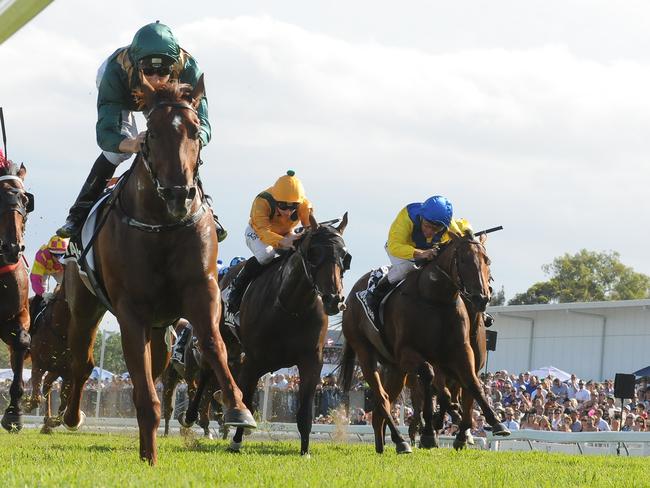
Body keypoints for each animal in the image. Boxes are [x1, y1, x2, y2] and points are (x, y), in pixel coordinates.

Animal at [60, 78, 253, 464]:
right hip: (85, 306)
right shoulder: (130, 310)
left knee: (156, 364)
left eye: (195, 130)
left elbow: (214, 345)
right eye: (152, 134)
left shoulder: (202, 290)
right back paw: (72, 417)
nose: (179, 193)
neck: (162, 223)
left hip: (161, 329)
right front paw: (149, 454)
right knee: (82, 361)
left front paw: (238, 408)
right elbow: (142, 387)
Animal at [223, 215, 350, 456]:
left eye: (345, 256)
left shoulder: (312, 360)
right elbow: (246, 398)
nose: (334, 300)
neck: (291, 306)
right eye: (313, 253)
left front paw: (305, 451)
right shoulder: (253, 360)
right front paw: (236, 440)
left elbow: (305, 412)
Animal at [340, 233, 506, 454]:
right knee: (382, 399)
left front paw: (494, 423)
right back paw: (401, 440)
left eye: (487, 261)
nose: (481, 297)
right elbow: (430, 377)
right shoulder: (409, 353)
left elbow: (472, 385)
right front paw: (429, 432)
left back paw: (383, 444)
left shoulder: (461, 353)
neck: (435, 299)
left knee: (381, 406)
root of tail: (350, 295)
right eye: (463, 260)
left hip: (396, 370)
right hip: (365, 352)